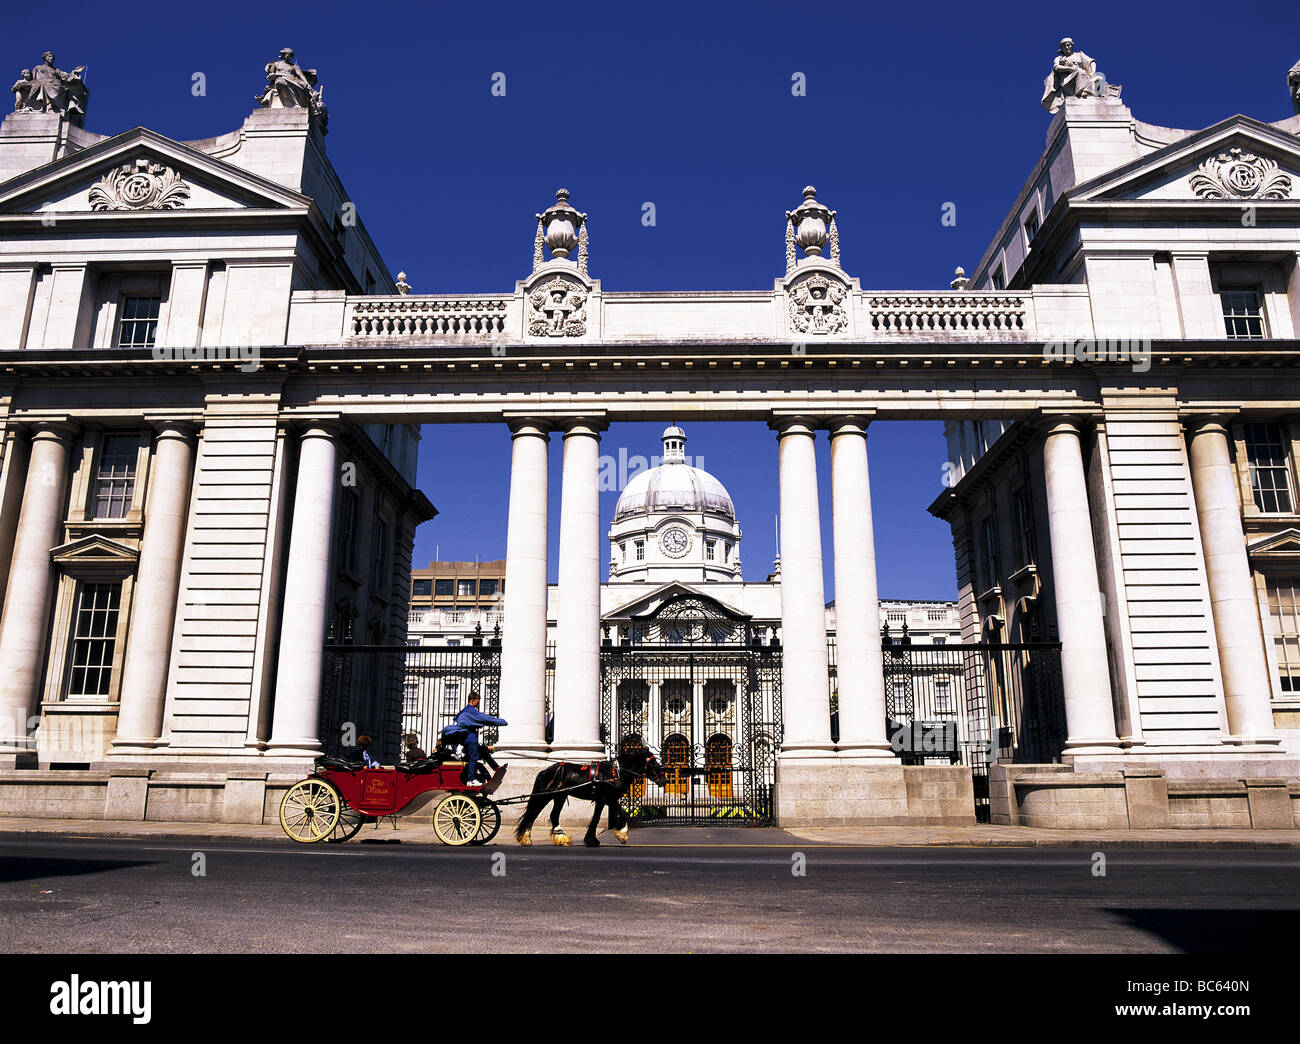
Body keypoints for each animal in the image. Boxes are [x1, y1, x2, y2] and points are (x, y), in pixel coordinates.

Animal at [512, 748, 665, 847]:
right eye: (654, 763)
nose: (664, 780)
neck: (615, 772)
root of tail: (546, 770)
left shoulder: (603, 800)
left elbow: (597, 818)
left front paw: (592, 840)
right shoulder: (607, 798)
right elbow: (621, 814)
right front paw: (621, 834)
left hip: (560, 796)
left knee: (549, 815)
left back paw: (556, 838)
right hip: (549, 795)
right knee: (534, 813)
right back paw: (530, 837)